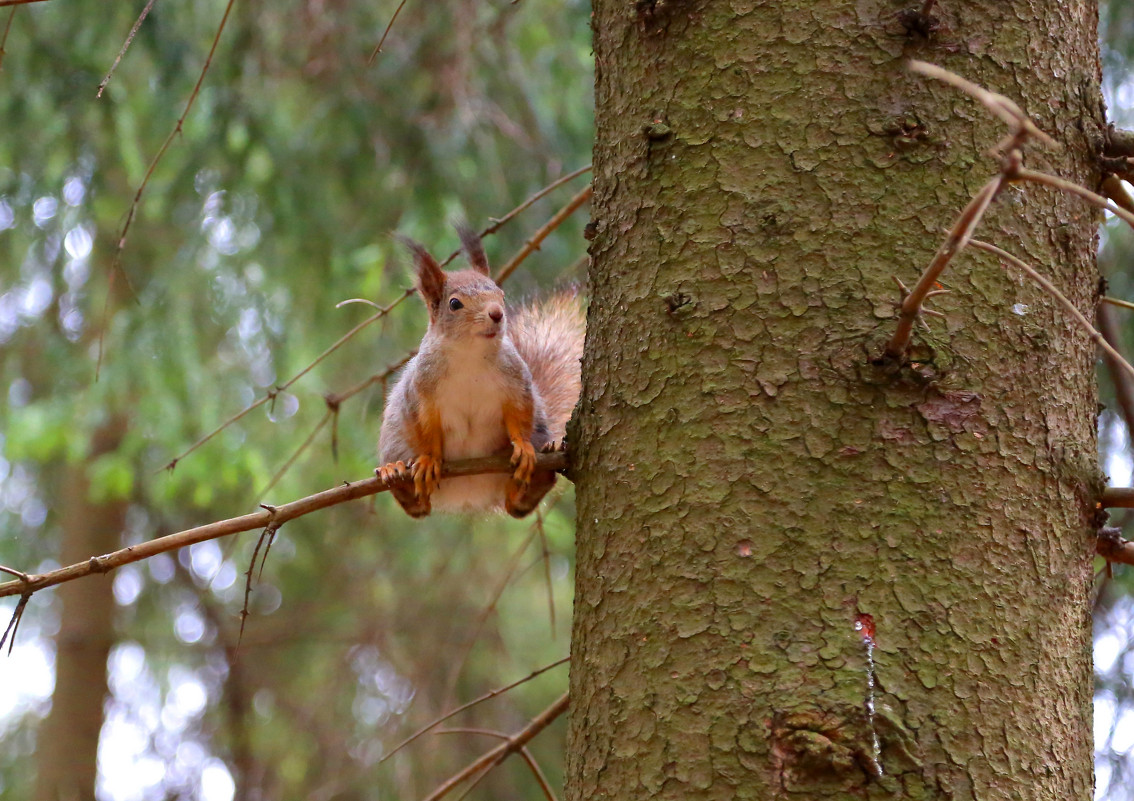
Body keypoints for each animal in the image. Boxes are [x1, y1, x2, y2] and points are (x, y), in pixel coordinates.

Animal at [378, 223, 580, 517]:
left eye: (501, 295)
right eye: (455, 303)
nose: (497, 313)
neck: (470, 355)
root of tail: (470, 492)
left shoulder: (516, 382)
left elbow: (519, 415)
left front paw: (523, 447)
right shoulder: (420, 392)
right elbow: (425, 428)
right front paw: (428, 459)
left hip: (537, 431)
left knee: (517, 504)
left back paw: (538, 470)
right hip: (395, 438)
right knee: (418, 507)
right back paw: (396, 474)